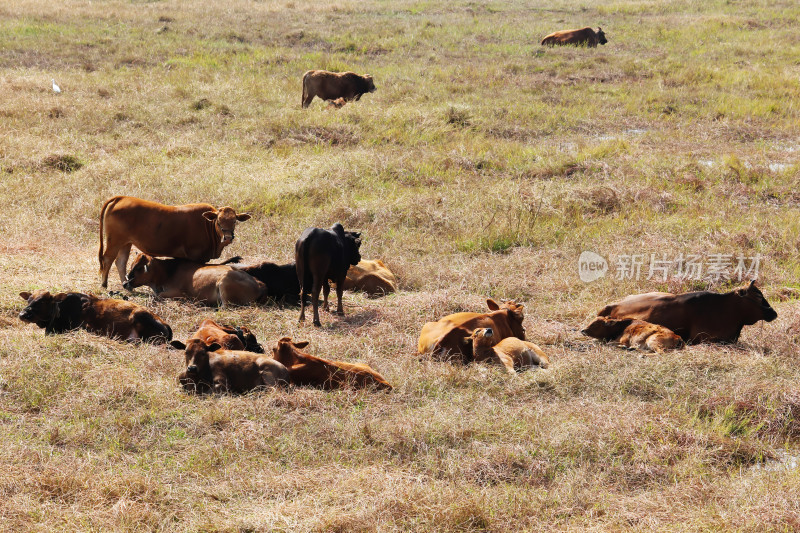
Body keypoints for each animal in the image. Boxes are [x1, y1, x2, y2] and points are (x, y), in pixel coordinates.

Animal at [99, 194, 250, 286]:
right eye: (219, 221)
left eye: (234, 221)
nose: (228, 237)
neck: (207, 225)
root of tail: (122, 198)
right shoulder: (196, 257)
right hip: (114, 241)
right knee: (108, 259)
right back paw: (104, 283)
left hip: (126, 243)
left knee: (120, 262)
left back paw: (125, 283)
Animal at [122, 252, 266, 306]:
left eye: (138, 268)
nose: (124, 283)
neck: (168, 271)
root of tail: (260, 284)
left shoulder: (180, 293)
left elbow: (158, 295)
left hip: (224, 284)